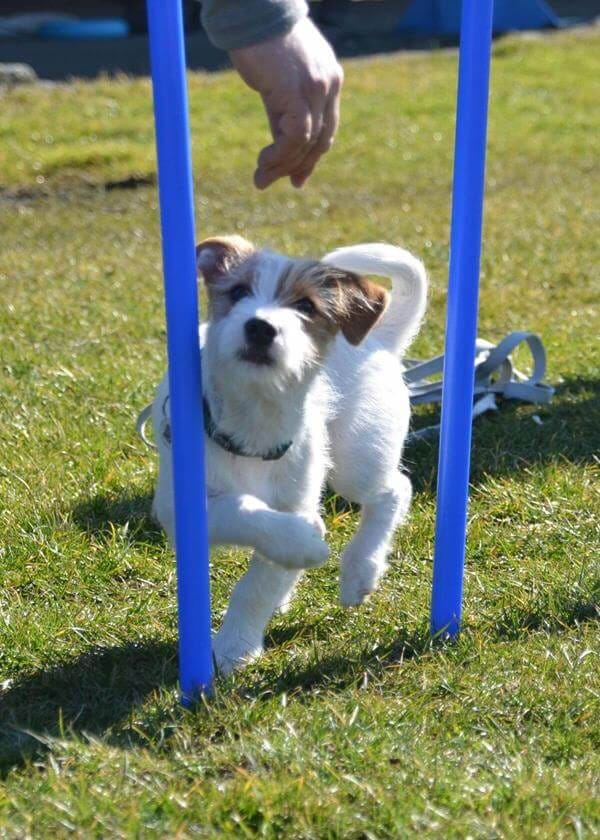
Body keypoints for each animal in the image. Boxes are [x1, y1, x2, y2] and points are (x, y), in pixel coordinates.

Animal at [150, 236, 426, 676]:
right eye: (238, 292)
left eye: (306, 306)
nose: (260, 327)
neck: (255, 418)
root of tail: (380, 339)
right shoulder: (178, 507)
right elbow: (246, 513)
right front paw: (303, 546)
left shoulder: (293, 498)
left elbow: (256, 585)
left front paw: (234, 646)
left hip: (357, 458)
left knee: (395, 490)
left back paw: (360, 569)